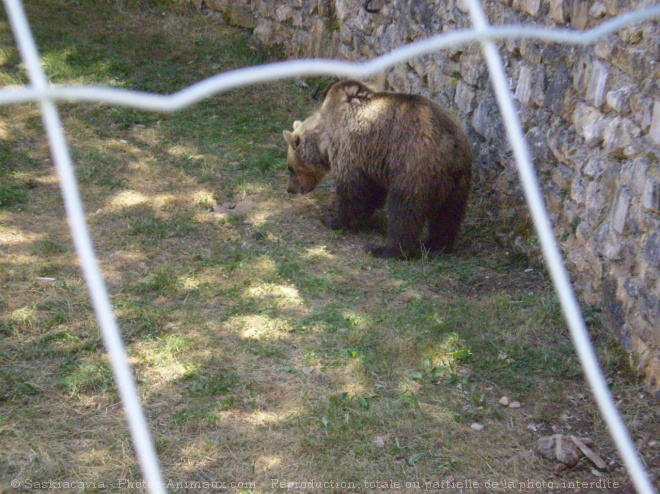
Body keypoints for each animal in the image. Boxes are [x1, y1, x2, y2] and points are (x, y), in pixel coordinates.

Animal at [282, 80, 472, 258]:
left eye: (290, 168)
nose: (290, 189)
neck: (325, 138)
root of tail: (452, 147)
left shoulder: (352, 148)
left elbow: (352, 191)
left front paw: (332, 220)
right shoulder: (374, 161)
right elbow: (372, 193)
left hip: (415, 167)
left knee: (404, 212)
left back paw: (386, 249)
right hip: (457, 183)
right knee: (447, 216)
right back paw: (437, 245)